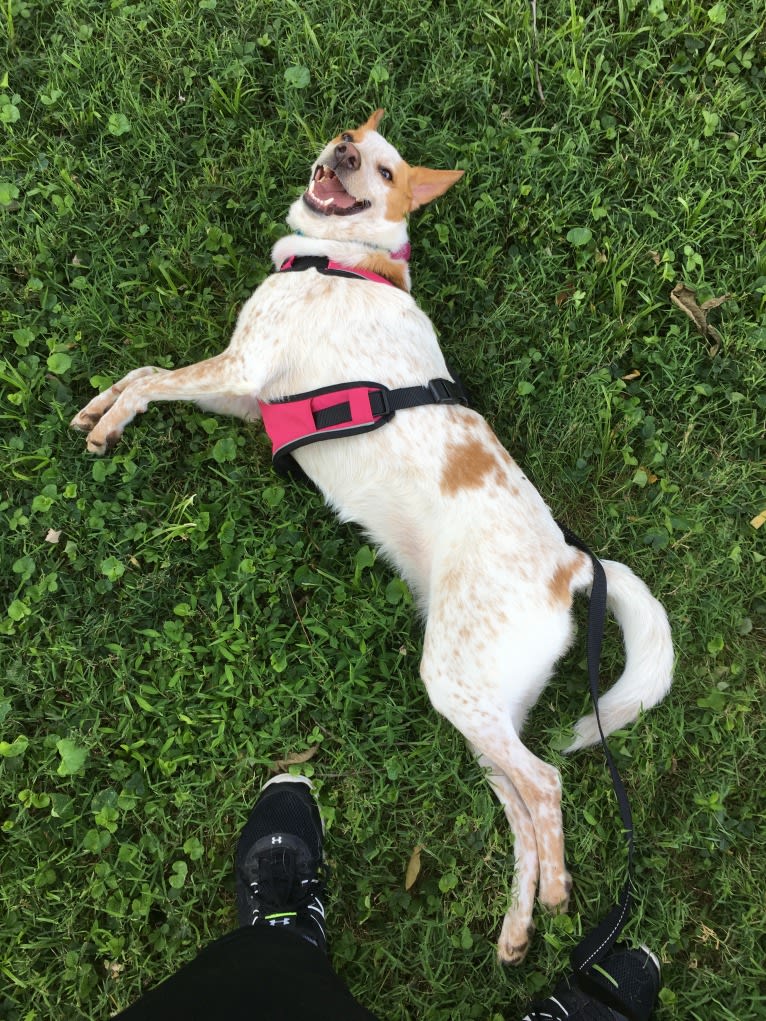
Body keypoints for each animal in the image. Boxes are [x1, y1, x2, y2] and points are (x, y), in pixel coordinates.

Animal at [70, 111, 669, 963]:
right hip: (481, 711)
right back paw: (517, 923)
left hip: (452, 681)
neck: (344, 260)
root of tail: (569, 562)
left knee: (546, 784)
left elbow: (152, 379)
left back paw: (554, 893)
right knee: (520, 803)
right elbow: (146, 373)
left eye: (385, 173)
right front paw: (103, 405)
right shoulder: (242, 395)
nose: (345, 154)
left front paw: (113, 418)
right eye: (348, 134)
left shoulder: (244, 369)